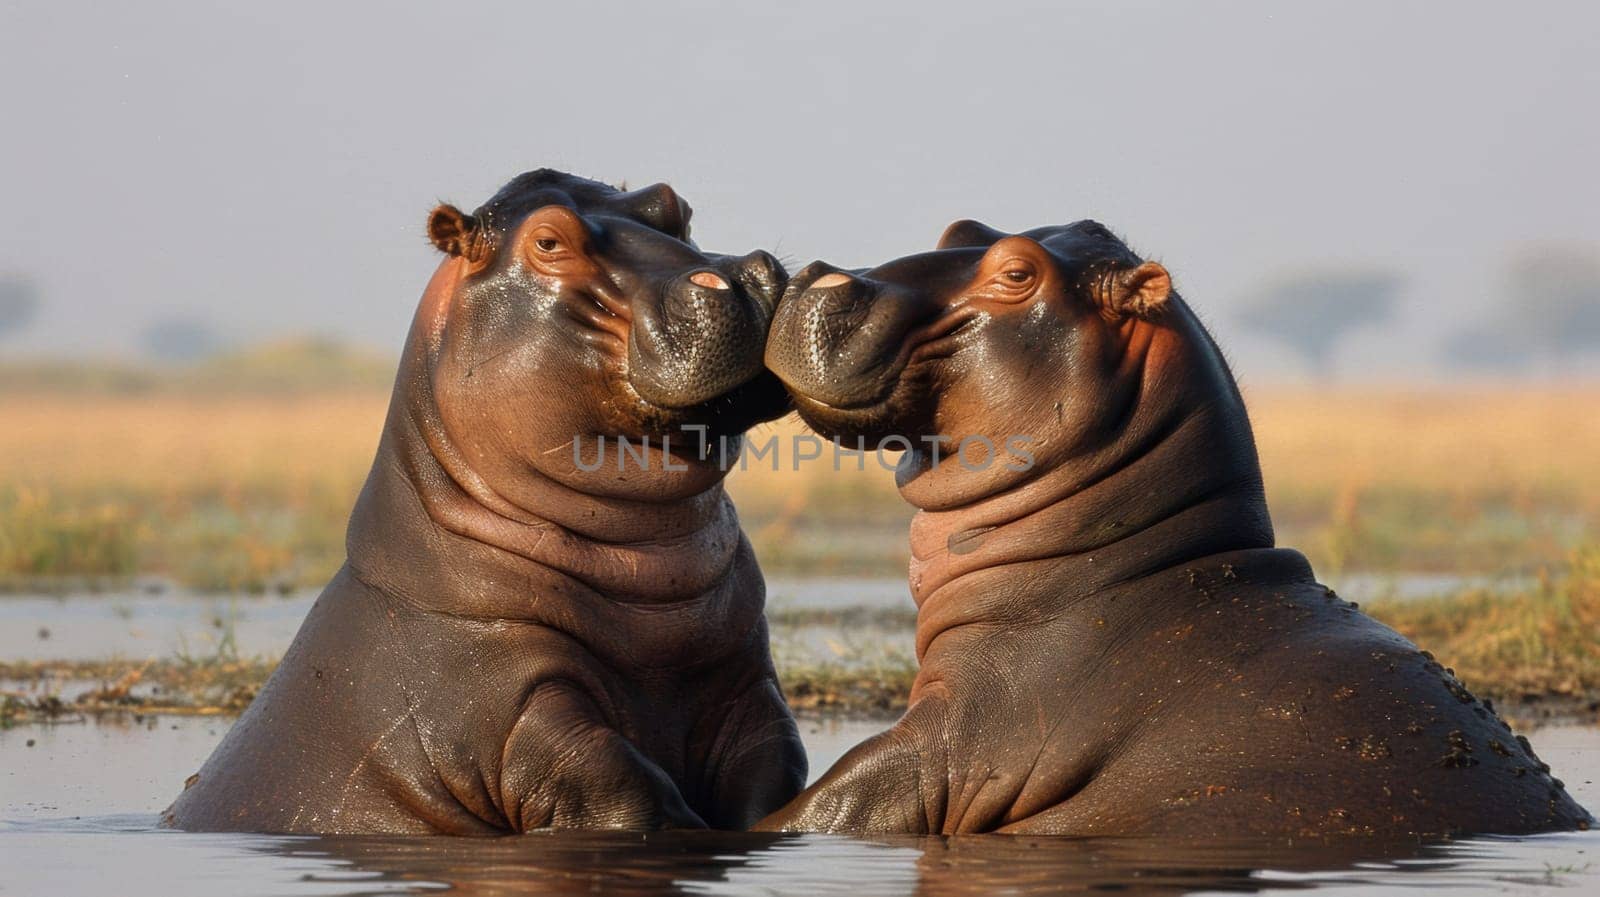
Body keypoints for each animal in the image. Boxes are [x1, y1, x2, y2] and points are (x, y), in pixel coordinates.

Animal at [168, 169, 806, 831]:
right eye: (548, 241)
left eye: (675, 205)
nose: (742, 277)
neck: (655, 599)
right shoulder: (501, 704)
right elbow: (619, 781)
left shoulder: (748, 689)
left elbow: (775, 759)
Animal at [755, 220, 1593, 837]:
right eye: (960, 227)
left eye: (1017, 272)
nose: (819, 270)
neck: (1125, 565)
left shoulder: (953, 744)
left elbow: (829, 798)